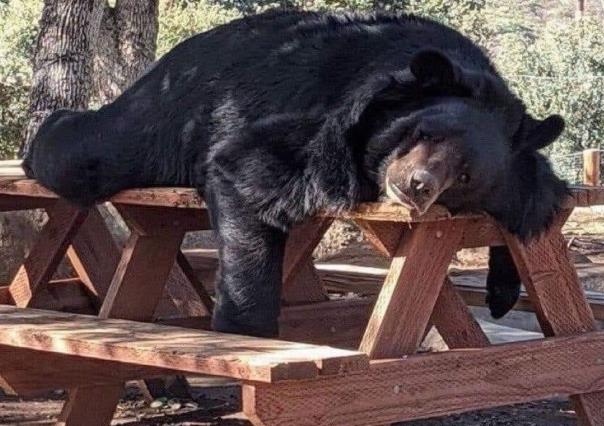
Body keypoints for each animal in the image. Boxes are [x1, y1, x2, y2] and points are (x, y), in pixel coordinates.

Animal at [21, 10, 568, 336]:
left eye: (466, 176)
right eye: (424, 132)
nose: (416, 186)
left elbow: (534, 201)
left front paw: (502, 291)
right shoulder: (323, 122)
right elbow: (249, 172)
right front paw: (244, 329)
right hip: (164, 115)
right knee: (85, 152)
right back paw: (41, 135)